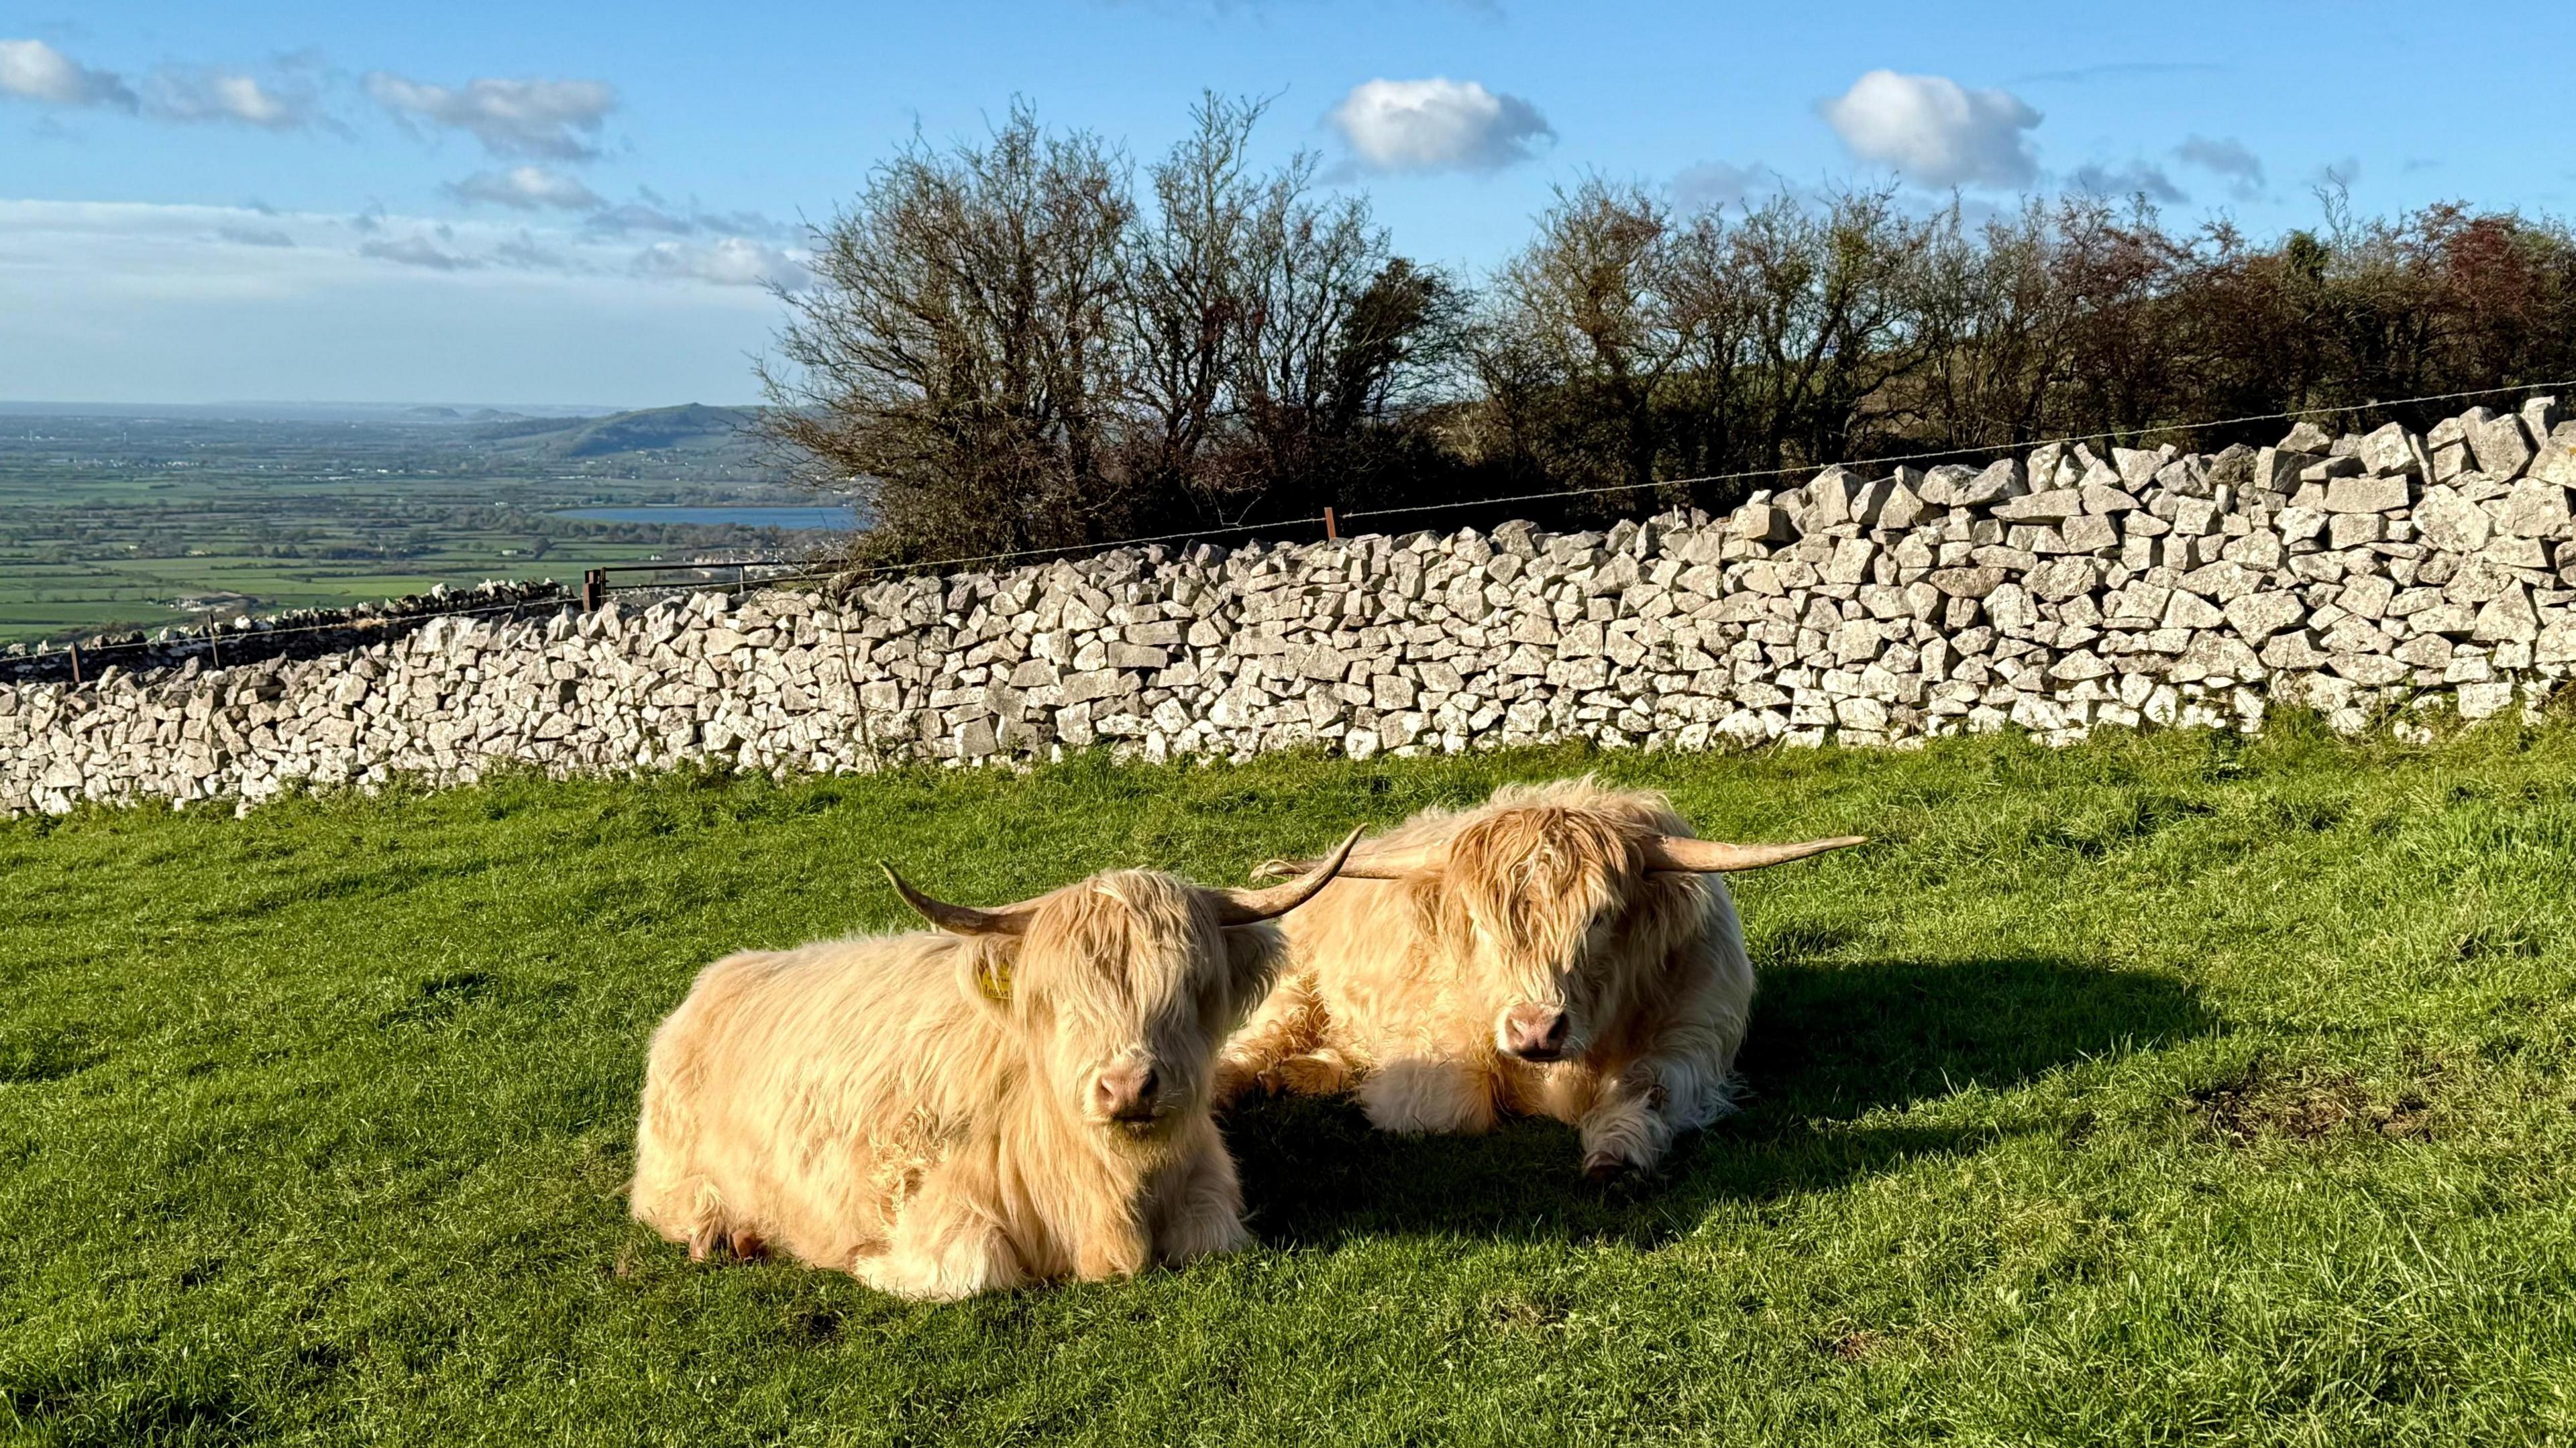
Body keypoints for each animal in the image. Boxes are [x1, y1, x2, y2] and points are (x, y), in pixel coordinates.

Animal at [629, 829, 1361, 1301]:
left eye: (1190, 986)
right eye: (1056, 999)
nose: (1127, 1086)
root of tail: (721, 975)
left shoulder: (1209, 1191)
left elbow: (1209, 1235)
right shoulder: (940, 1203)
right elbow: (971, 1271)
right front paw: (867, 1263)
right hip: (672, 1173)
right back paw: (726, 1232)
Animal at [1216, 778, 1860, 1179]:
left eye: (1600, 917)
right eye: (1479, 924)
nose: (1535, 1030)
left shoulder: (1696, 1036)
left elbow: (1650, 1085)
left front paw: (1617, 1153)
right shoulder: (1435, 1037)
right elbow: (1447, 1106)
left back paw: (1303, 1072)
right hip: (1294, 985)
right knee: (1255, 1044)